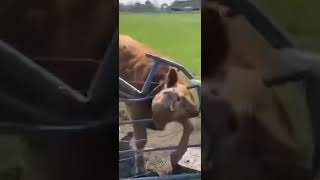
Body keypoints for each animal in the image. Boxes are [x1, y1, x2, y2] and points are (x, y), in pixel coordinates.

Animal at [120, 34, 200, 172]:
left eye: (188, 96)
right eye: (176, 98)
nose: (197, 110)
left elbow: (190, 126)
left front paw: (175, 158)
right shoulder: (135, 108)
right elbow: (141, 140)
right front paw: (140, 169)